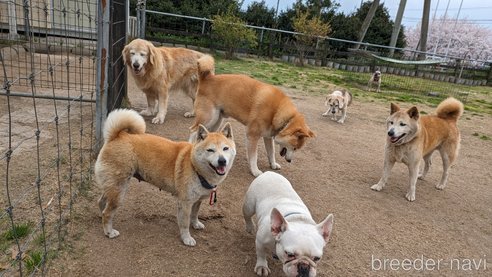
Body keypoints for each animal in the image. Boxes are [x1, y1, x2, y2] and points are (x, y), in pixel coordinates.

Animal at [95, 109, 236, 245]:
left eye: (225, 148)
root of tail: (116, 136)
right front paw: (187, 238)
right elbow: (184, 223)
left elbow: (195, 214)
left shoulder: (197, 200)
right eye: (210, 150)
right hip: (119, 190)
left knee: (101, 202)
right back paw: (109, 232)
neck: (195, 166)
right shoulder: (185, 202)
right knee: (107, 212)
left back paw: (101, 219)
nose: (222, 161)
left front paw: (195, 224)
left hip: (113, 186)